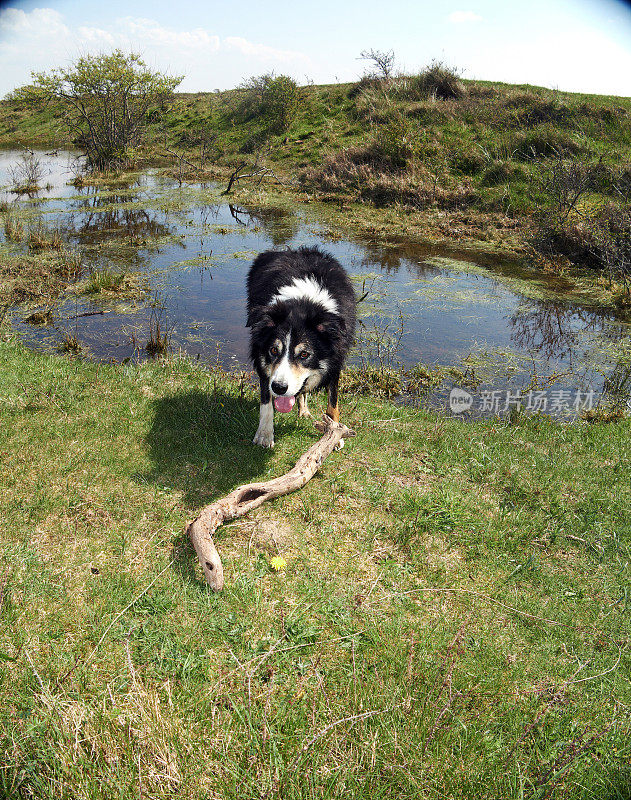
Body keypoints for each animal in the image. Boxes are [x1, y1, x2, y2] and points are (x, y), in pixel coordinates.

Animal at [247, 247, 356, 446]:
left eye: (304, 354)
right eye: (273, 350)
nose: (279, 388)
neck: (304, 302)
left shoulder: (336, 360)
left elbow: (333, 402)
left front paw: (334, 435)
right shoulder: (262, 358)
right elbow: (266, 400)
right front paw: (265, 434)